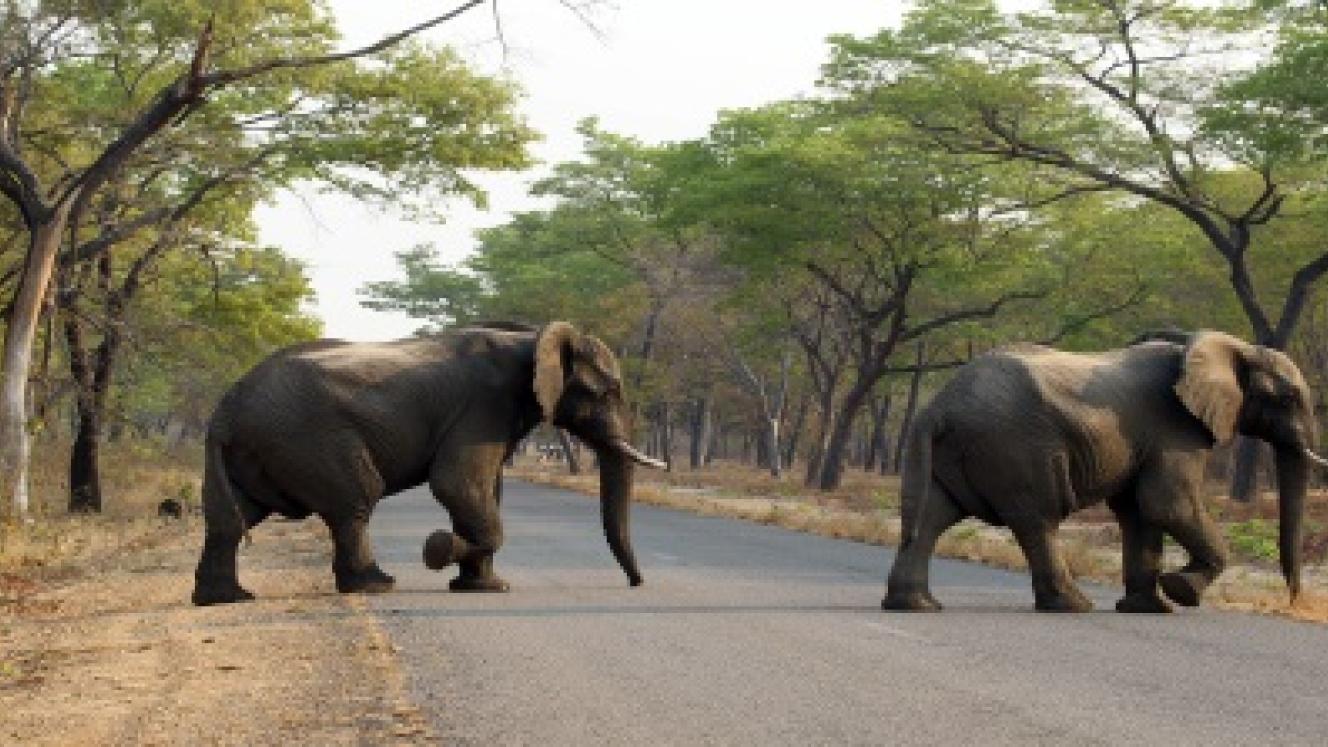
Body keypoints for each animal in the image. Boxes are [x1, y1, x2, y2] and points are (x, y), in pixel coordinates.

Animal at [192, 321, 665, 606]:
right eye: (606, 392)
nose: (636, 583)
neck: (533, 337)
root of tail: (225, 410)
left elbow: (483, 490)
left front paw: (482, 588)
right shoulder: (483, 406)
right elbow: (456, 485)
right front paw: (438, 551)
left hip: (260, 451)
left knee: (233, 518)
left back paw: (225, 599)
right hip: (310, 439)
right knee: (354, 502)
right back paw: (378, 585)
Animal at [882, 330, 1325, 613]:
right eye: (1287, 397)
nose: (1294, 600)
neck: (1233, 346)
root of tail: (938, 406)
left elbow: (1139, 512)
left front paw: (1150, 608)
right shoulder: (1175, 428)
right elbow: (1168, 505)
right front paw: (1181, 591)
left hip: (959, 450)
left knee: (930, 518)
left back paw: (916, 606)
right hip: (1015, 449)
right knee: (1037, 520)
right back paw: (1074, 606)